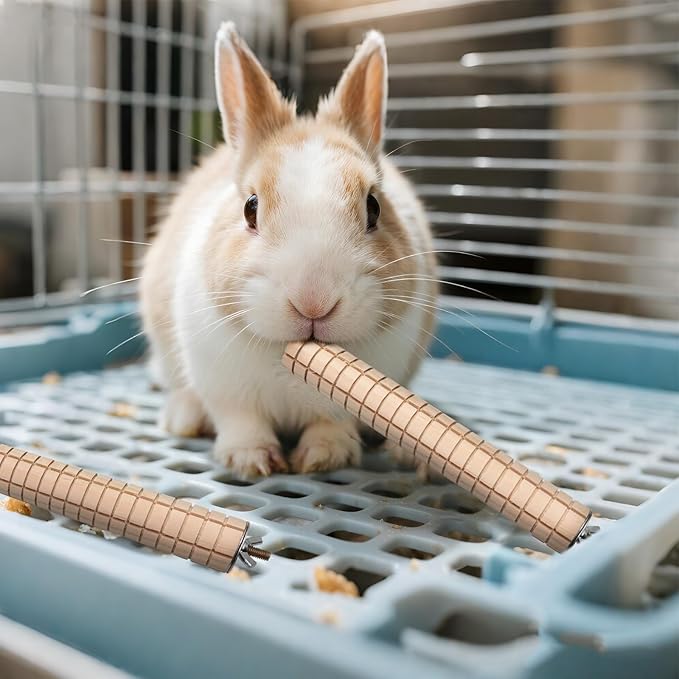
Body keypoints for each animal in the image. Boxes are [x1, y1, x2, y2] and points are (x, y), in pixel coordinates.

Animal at [140, 23, 438, 478]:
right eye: (251, 208)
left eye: (374, 207)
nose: (313, 302)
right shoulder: (225, 389)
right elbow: (241, 421)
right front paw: (250, 460)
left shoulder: (345, 403)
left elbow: (330, 424)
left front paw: (324, 457)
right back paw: (183, 418)